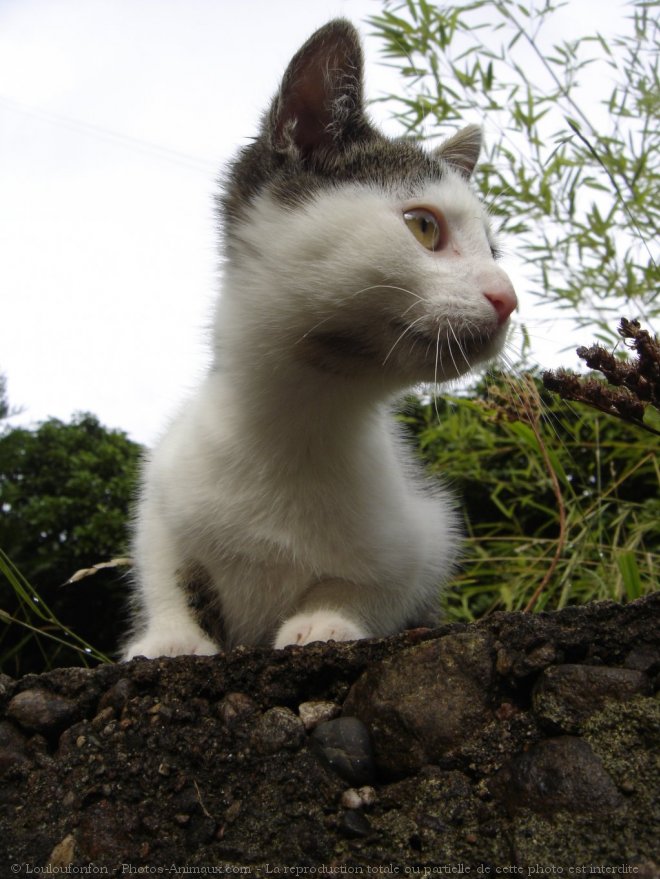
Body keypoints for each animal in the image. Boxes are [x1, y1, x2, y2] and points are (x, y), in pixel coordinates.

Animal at [122, 18, 516, 660]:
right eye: (424, 226)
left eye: (494, 251)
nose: (507, 297)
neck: (303, 417)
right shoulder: (162, 487)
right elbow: (165, 572)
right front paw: (172, 638)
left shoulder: (424, 530)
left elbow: (381, 584)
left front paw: (326, 621)